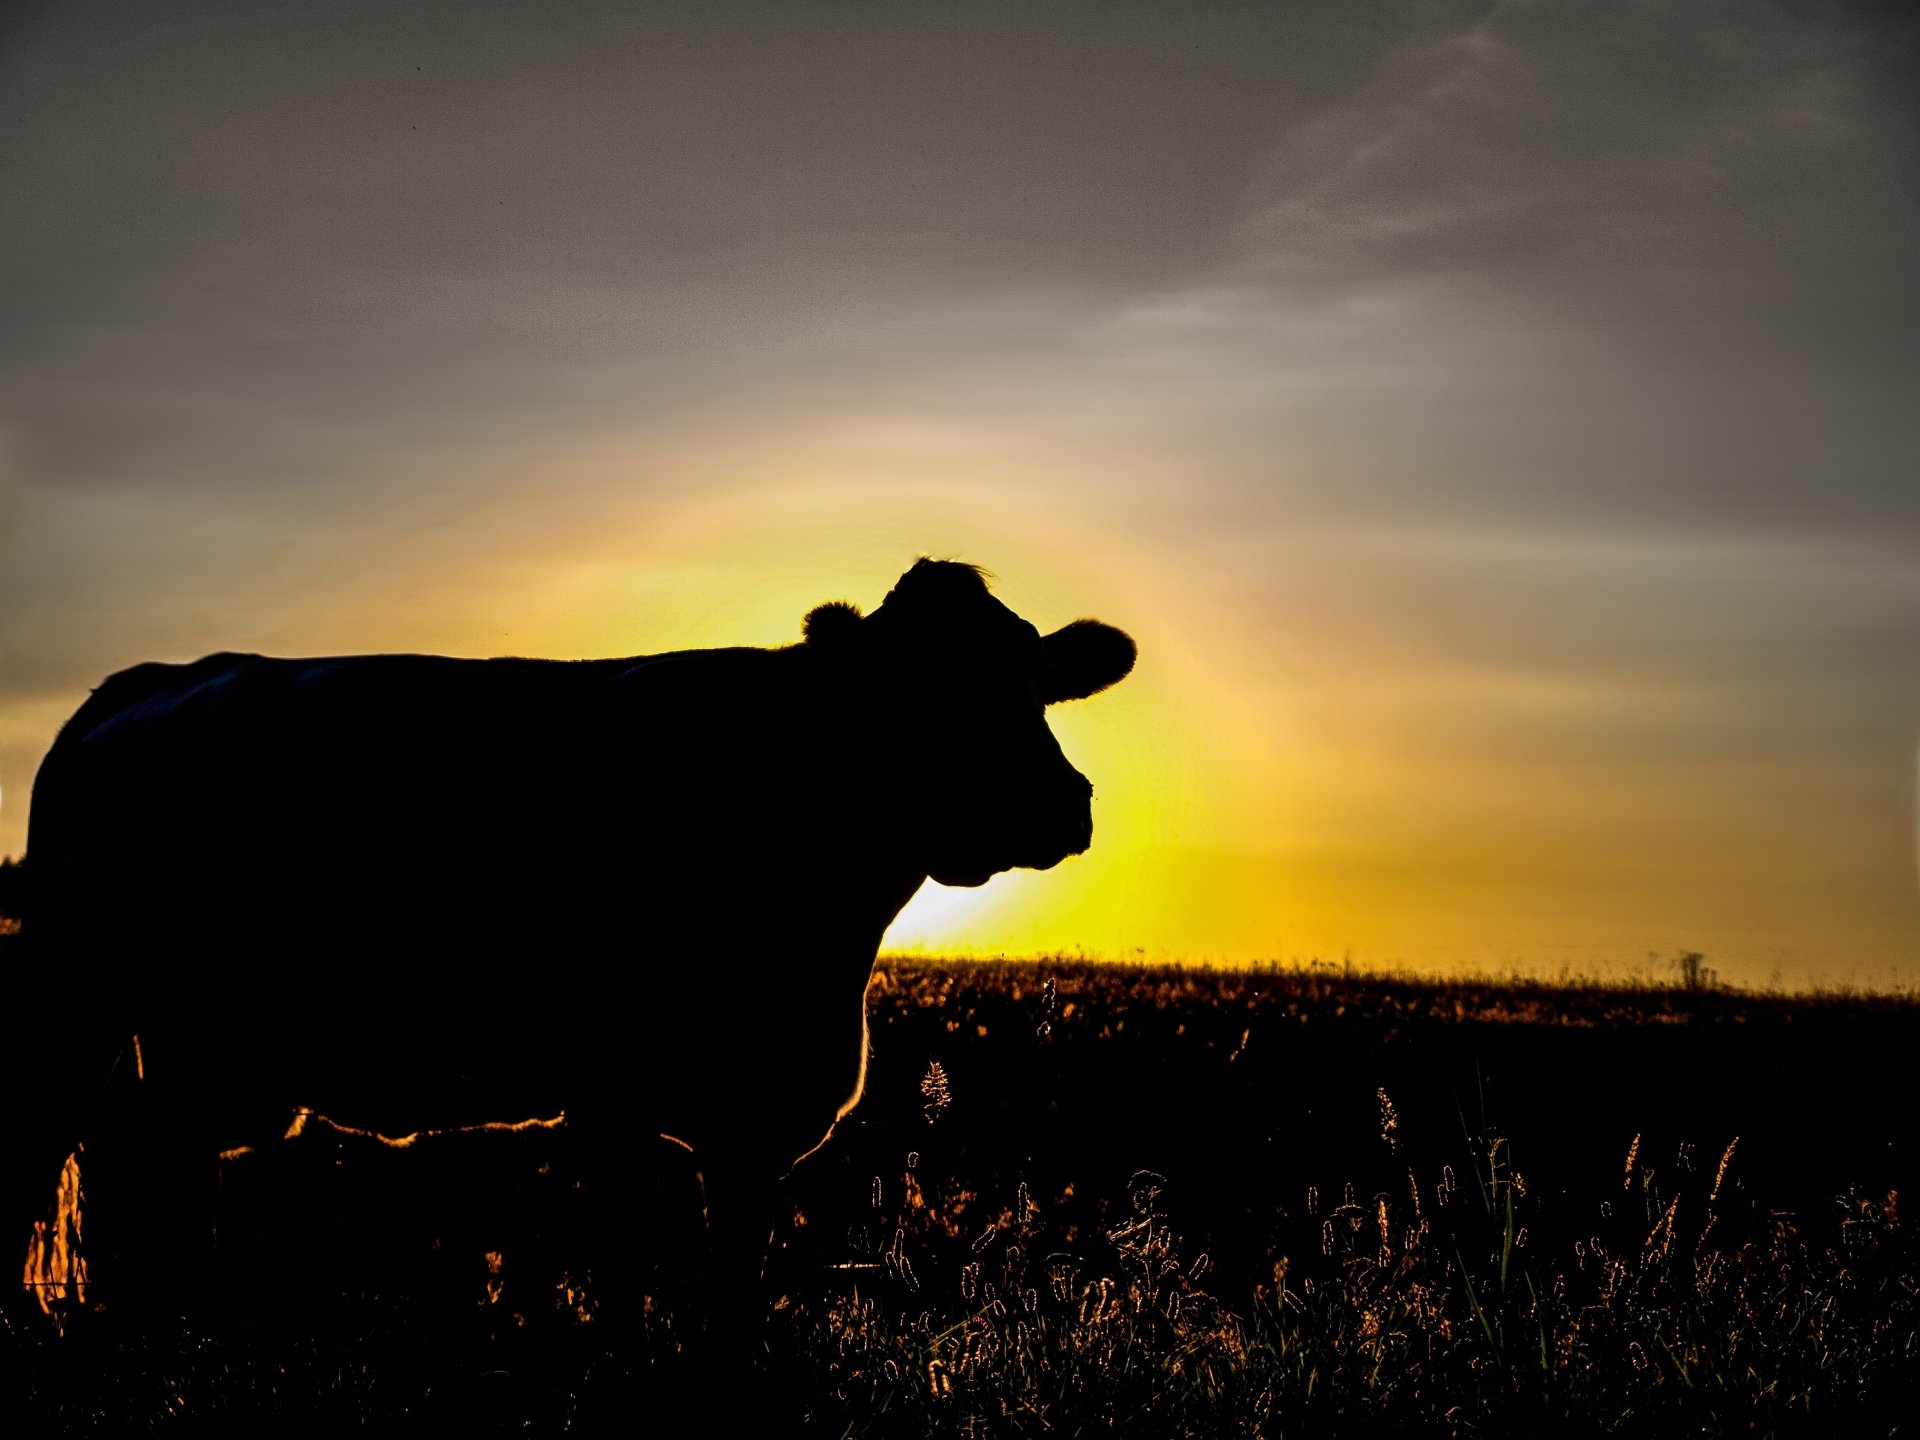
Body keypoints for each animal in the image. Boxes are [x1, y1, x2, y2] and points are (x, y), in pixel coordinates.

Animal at [3, 558, 1135, 1367]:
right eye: (913, 692)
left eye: (1038, 684)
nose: (1053, 800)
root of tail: (156, 679)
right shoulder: (610, 1092)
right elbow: (628, 1264)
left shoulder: (757, 1116)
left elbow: (737, 1279)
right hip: (73, 1002)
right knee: (49, 1160)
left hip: (192, 1043)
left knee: (168, 1171)